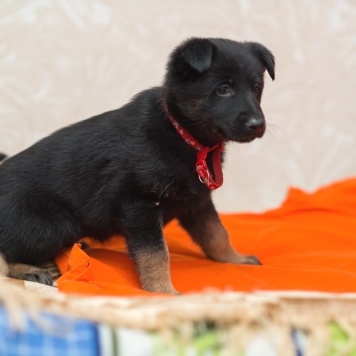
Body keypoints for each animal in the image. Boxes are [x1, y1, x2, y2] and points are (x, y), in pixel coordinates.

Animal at [0, 38, 276, 294]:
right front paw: (163, 290)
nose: (258, 125)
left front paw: (235, 259)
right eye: (223, 89)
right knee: (6, 253)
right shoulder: (140, 206)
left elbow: (216, 233)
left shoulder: (196, 202)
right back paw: (31, 269)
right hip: (53, 224)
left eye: (256, 88)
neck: (183, 134)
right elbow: (156, 254)